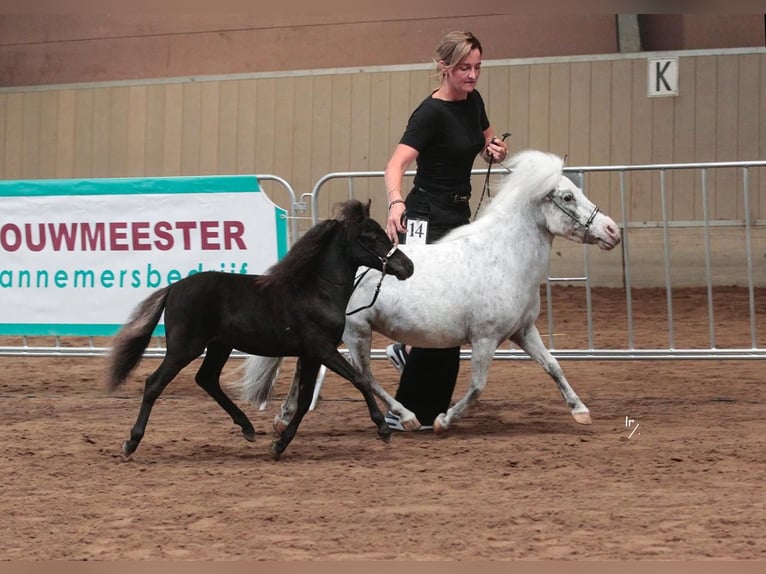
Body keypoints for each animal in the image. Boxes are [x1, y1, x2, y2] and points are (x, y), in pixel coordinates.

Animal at [105, 199, 414, 460]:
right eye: (369, 236)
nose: (407, 267)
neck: (316, 291)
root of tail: (173, 289)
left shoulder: (311, 355)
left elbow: (304, 401)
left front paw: (279, 445)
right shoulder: (323, 350)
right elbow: (360, 380)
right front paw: (383, 429)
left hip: (220, 346)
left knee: (207, 379)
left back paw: (248, 428)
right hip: (184, 348)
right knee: (154, 384)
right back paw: (131, 443)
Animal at [238, 149, 621, 434]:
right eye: (568, 196)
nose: (612, 231)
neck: (504, 258)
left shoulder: (523, 331)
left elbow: (553, 366)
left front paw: (580, 411)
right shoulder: (485, 338)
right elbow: (477, 386)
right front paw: (442, 421)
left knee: (309, 368)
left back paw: (283, 417)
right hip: (356, 331)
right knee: (364, 376)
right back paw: (407, 418)